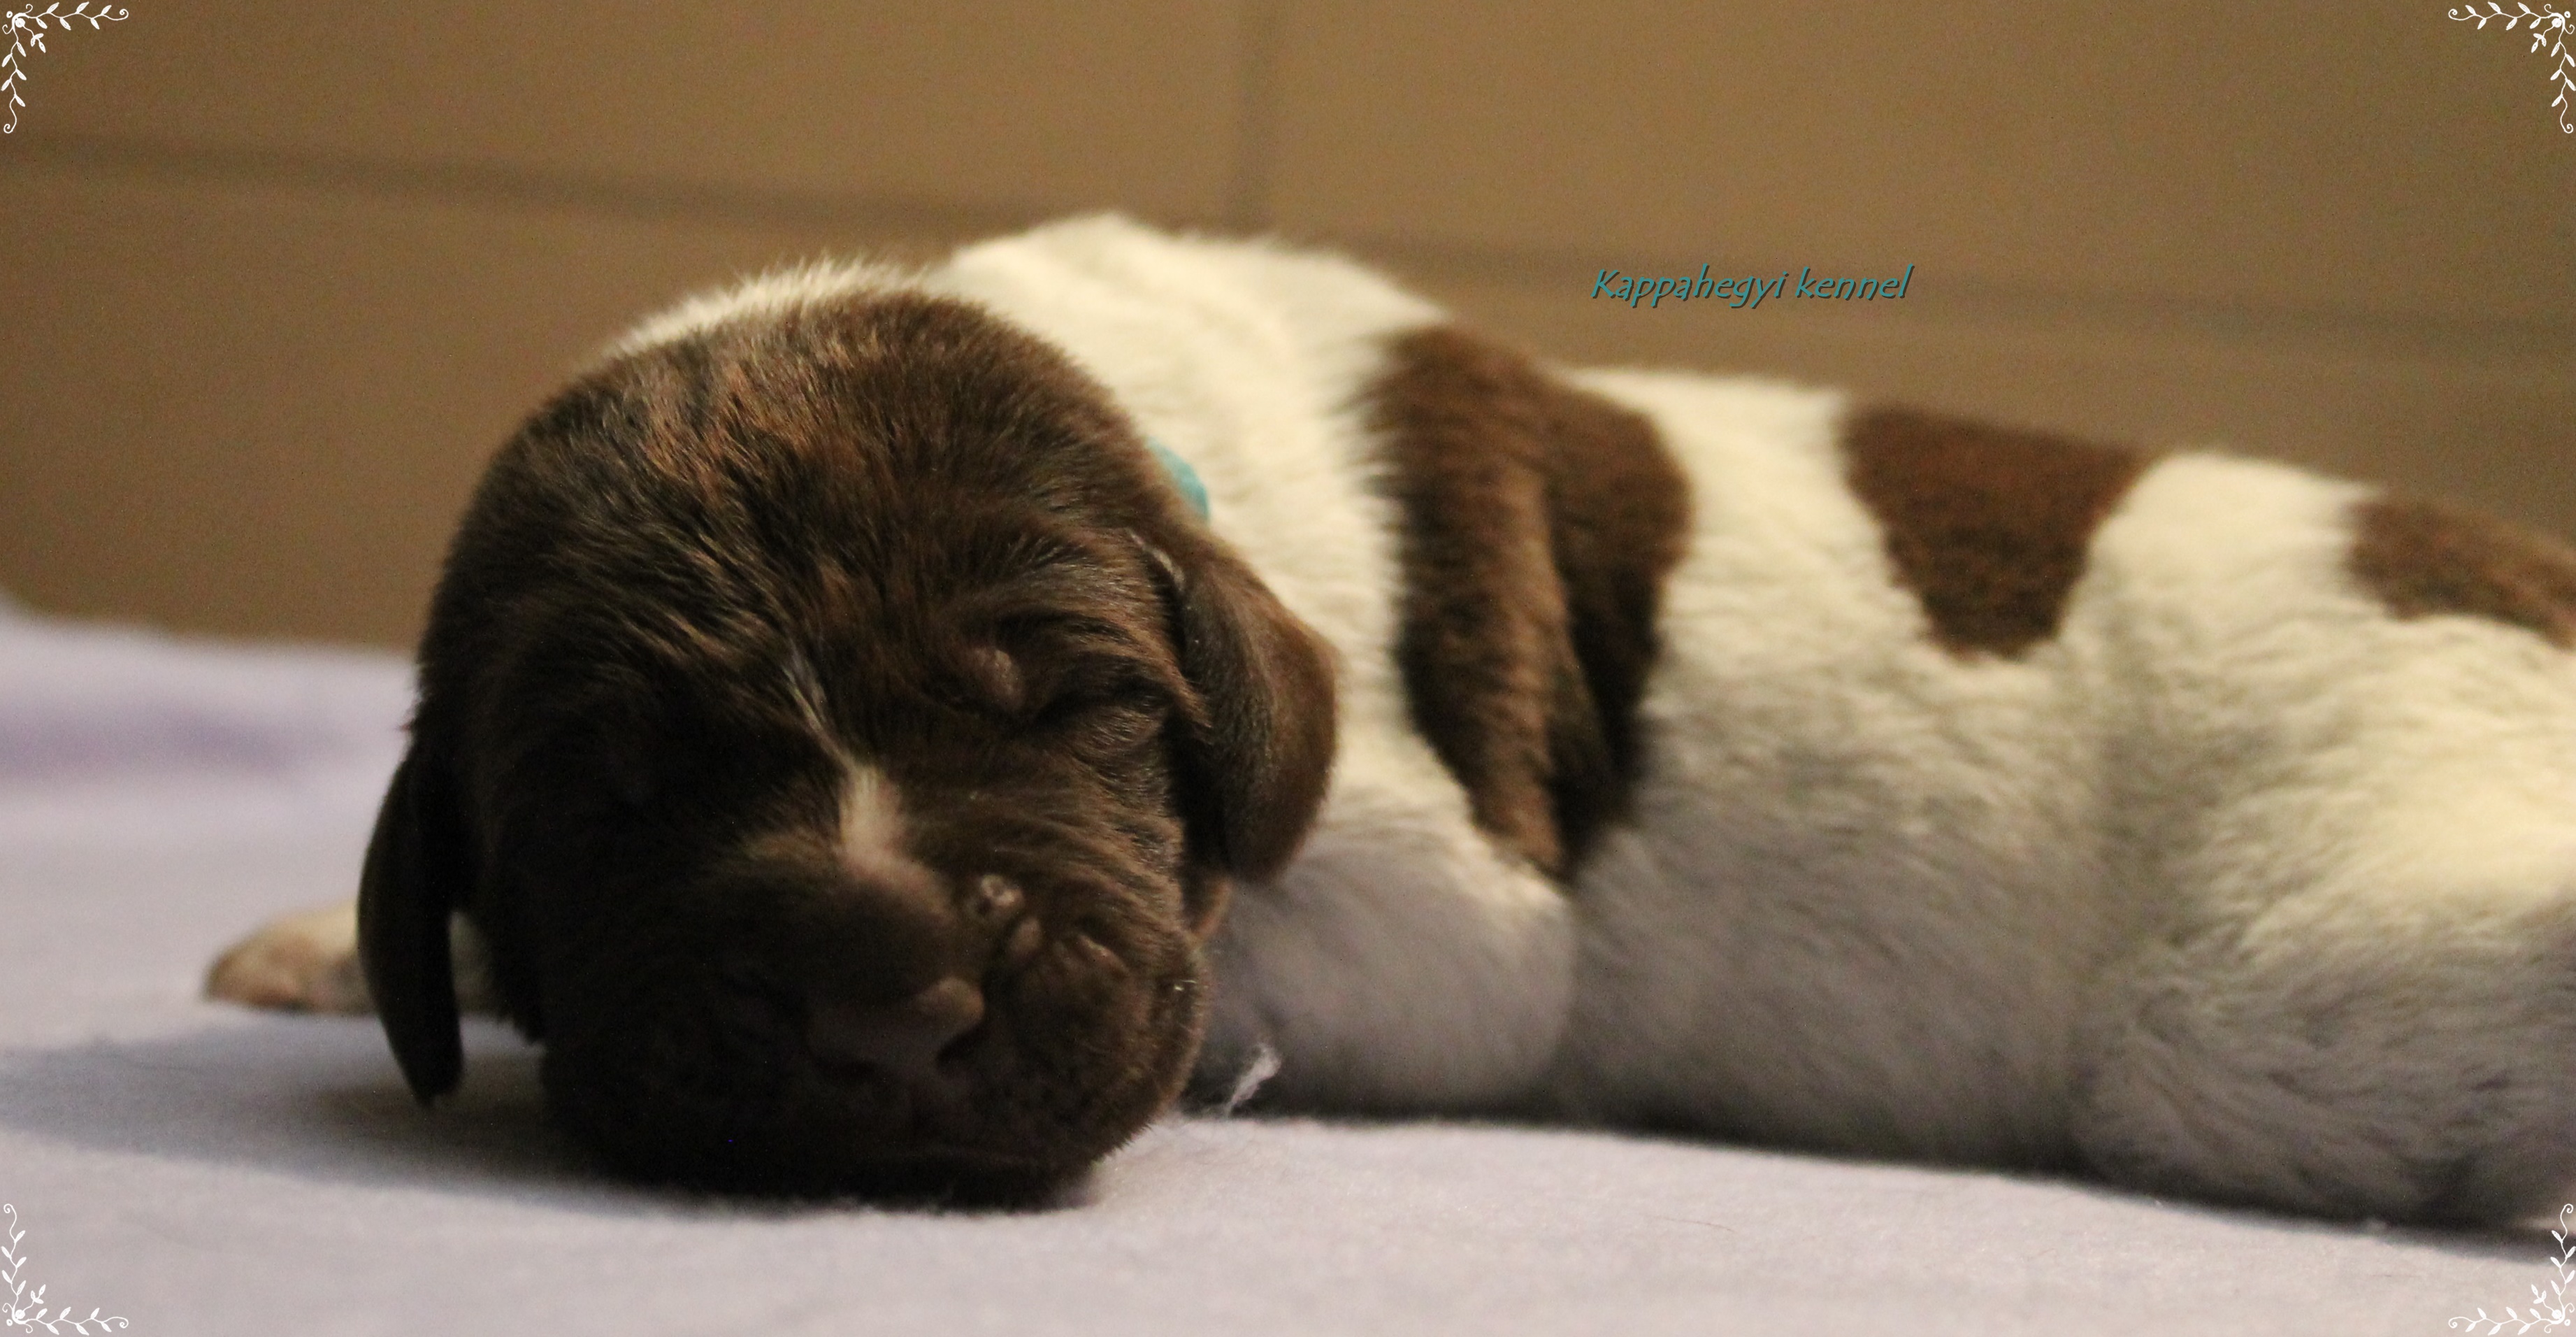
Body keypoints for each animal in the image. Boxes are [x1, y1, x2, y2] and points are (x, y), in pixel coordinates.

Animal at [209, 216, 2576, 1221]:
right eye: (603, 789)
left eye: (1078, 704)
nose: (880, 993)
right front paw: (336, 945)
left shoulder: (1454, 927)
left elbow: (1251, 966)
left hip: (2259, 986)